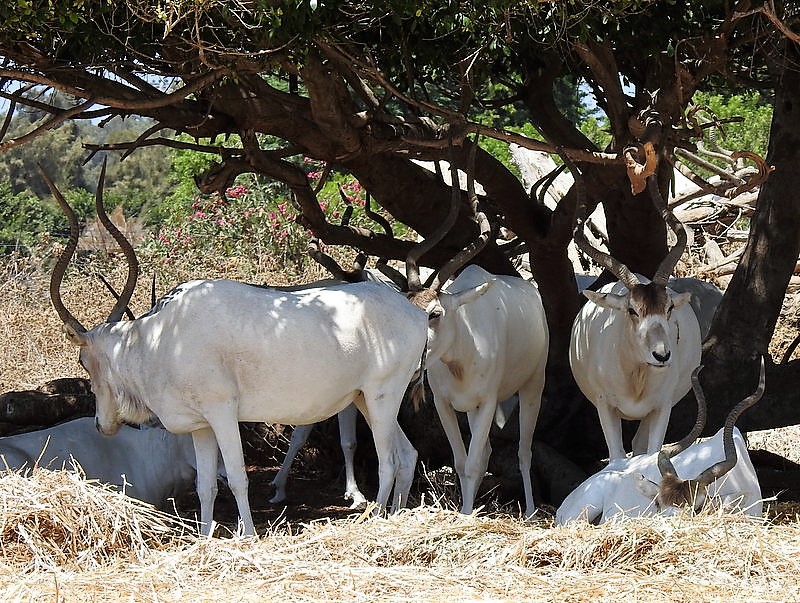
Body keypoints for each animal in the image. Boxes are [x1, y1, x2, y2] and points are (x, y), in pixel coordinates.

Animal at [43, 159, 428, 536]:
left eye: (83, 361)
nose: (101, 425)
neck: (156, 340)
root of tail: (417, 314)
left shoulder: (223, 413)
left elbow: (238, 478)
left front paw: (250, 536)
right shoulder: (200, 426)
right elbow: (206, 486)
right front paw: (207, 539)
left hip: (382, 395)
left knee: (389, 460)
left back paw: (377, 519)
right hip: (364, 398)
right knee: (407, 454)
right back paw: (396, 515)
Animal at [568, 167, 702, 460]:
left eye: (669, 308)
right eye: (632, 310)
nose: (661, 355)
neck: (636, 377)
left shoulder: (661, 408)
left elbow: (653, 452)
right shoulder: (605, 408)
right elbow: (616, 456)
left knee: (640, 445)